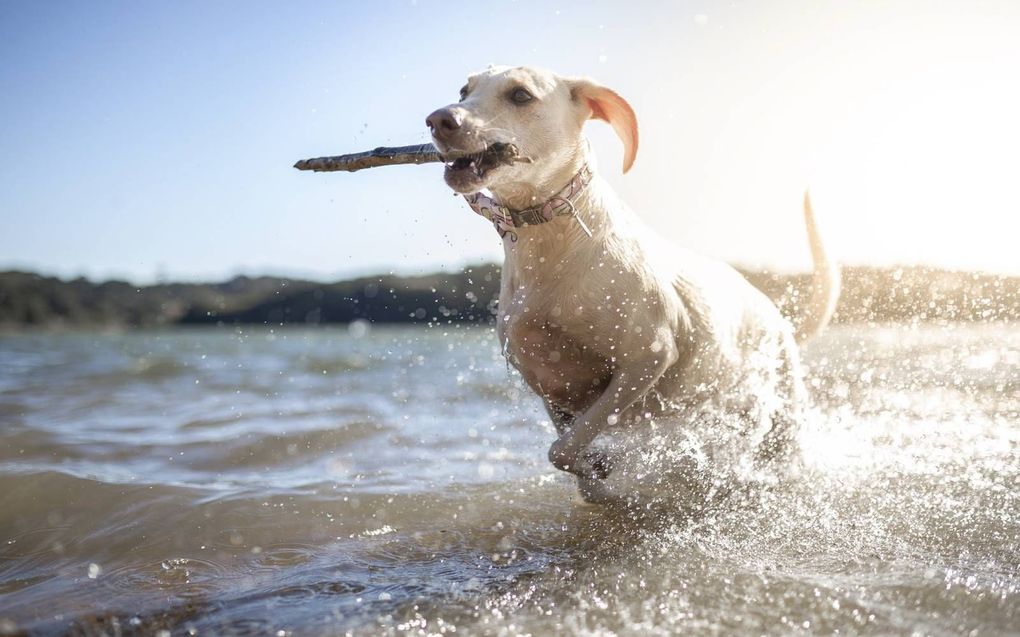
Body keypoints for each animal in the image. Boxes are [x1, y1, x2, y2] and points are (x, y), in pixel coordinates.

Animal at [422, 64, 836, 501]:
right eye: (463, 90)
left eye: (520, 95)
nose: (439, 120)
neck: (551, 243)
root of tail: (777, 315)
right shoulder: (549, 386)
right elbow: (568, 452)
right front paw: (596, 475)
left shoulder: (648, 356)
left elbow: (568, 445)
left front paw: (607, 467)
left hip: (781, 410)